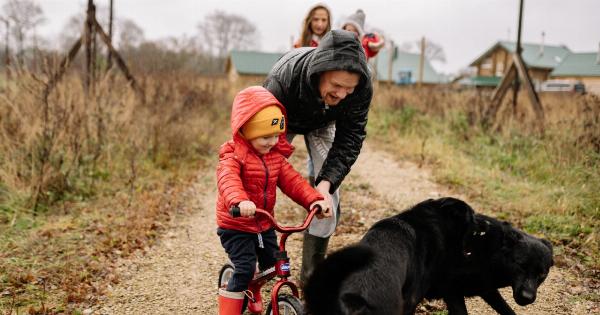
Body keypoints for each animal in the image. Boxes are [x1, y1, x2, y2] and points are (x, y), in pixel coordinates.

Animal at [304, 198, 552, 315]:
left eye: (542, 274)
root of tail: (353, 299)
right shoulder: (449, 291)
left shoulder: (485, 290)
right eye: (521, 266)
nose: (487, 223)